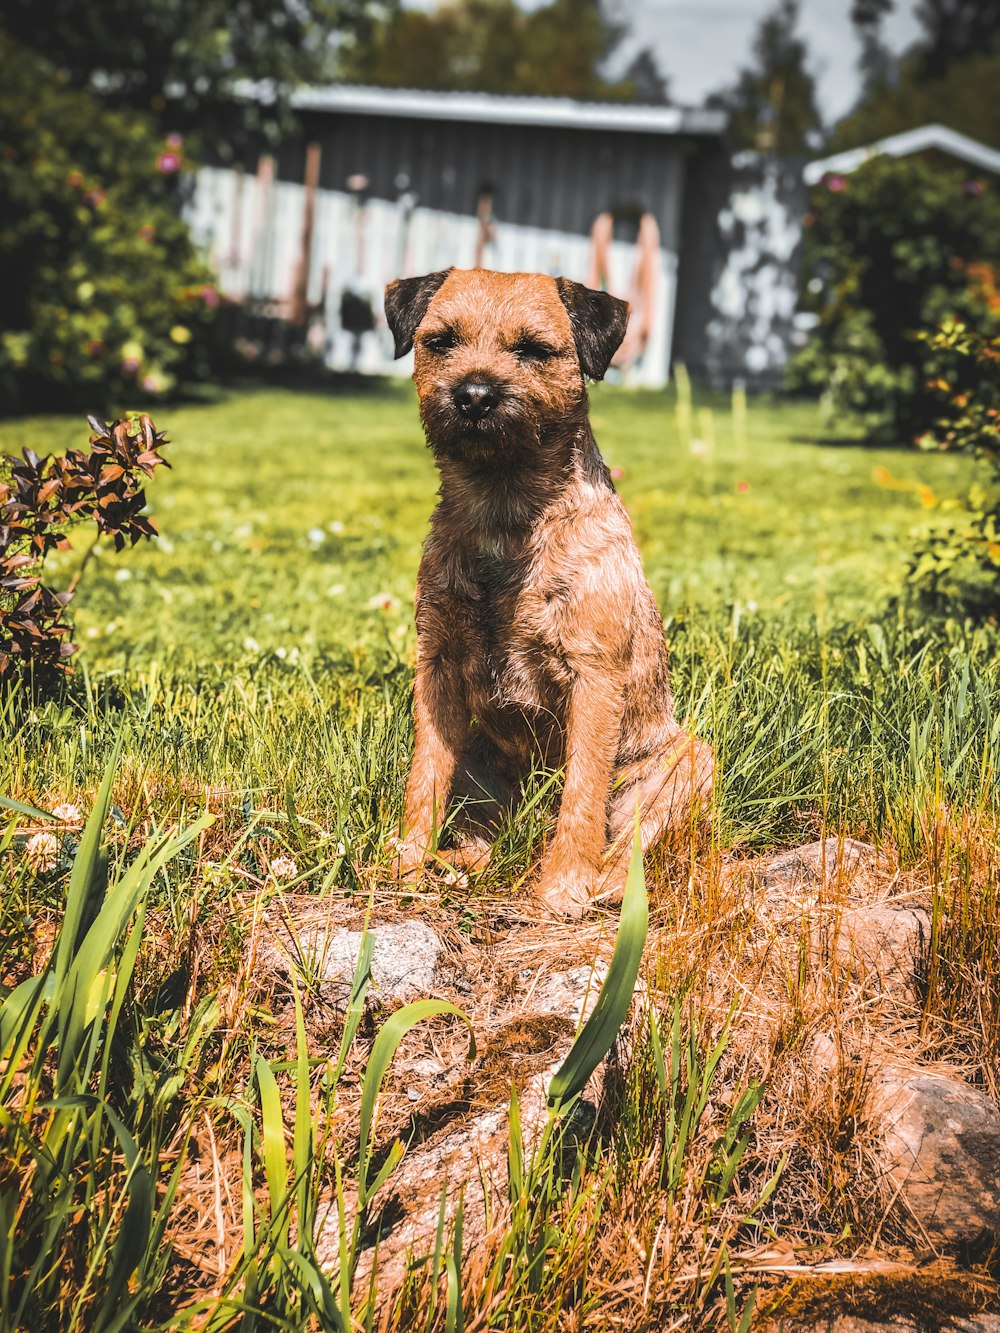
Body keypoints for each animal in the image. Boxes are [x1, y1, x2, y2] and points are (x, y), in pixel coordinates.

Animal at [384, 270, 714, 917]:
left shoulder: (595, 677)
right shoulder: (437, 667)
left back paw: (599, 882)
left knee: (629, 842)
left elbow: (583, 792)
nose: (475, 396)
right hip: (477, 754)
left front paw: (564, 885)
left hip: (688, 758)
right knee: (483, 830)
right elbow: (424, 774)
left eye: (533, 349)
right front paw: (406, 861)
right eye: (441, 341)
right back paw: (457, 863)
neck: (506, 513)